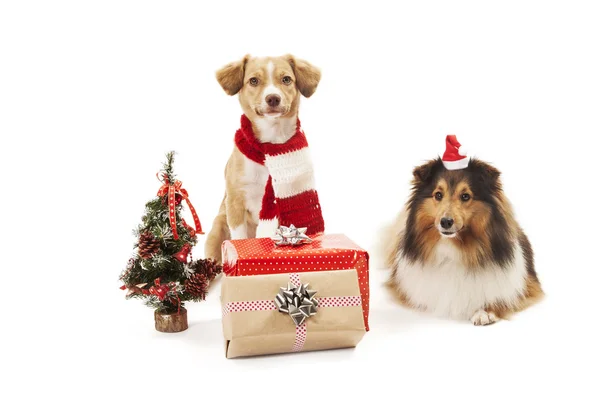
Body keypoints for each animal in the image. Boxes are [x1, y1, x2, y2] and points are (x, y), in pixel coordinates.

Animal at [205, 54, 322, 264]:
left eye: (286, 79)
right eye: (253, 81)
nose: (273, 98)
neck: (270, 143)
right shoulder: (235, 203)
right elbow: (239, 238)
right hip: (218, 225)